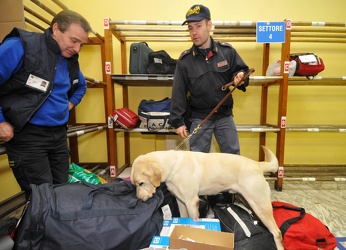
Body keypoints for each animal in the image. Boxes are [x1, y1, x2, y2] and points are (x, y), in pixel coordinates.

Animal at [130, 146, 284, 249]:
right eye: (135, 185)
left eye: (141, 183)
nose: (139, 200)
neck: (173, 166)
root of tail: (257, 164)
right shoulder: (181, 201)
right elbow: (183, 218)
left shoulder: (191, 202)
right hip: (250, 201)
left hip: (259, 204)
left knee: (277, 232)